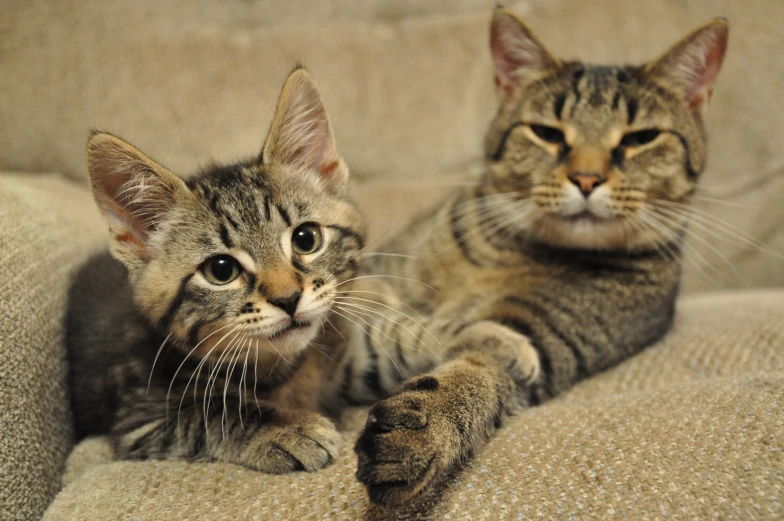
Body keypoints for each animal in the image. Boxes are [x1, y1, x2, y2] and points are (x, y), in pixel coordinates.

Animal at [65, 68, 368, 472]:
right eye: (221, 270)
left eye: (306, 239)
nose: (288, 299)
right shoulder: (139, 417)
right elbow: (212, 413)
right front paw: (287, 427)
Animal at [336, 8, 728, 504]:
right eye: (546, 133)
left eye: (641, 138)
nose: (586, 178)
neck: (508, 253)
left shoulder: (543, 335)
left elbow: (470, 370)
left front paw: (420, 429)